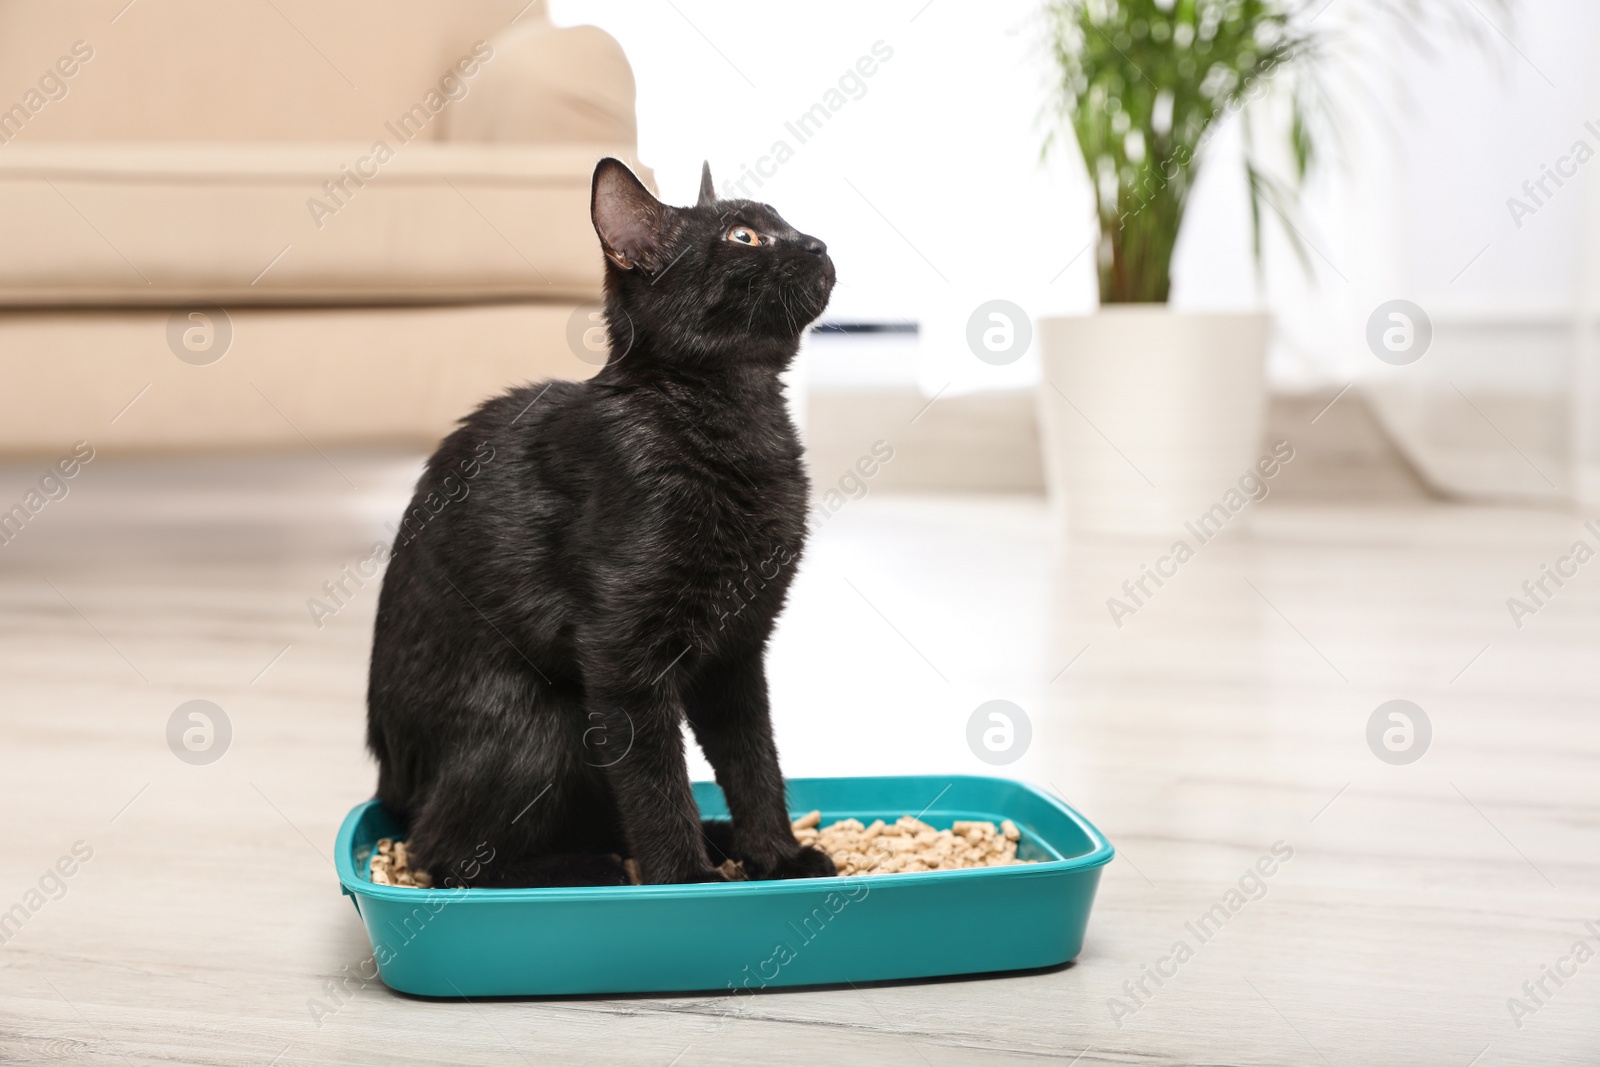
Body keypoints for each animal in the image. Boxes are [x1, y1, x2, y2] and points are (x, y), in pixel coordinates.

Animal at [363, 158, 838, 889]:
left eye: (783, 222)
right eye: (744, 237)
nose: (816, 243)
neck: (740, 417)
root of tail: (391, 783)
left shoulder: (737, 650)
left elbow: (755, 763)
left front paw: (778, 856)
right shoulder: (621, 659)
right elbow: (657, 783)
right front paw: (686, 881)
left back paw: (714, 839)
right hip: (546, 722)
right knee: (441, 853)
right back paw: (592, 868)